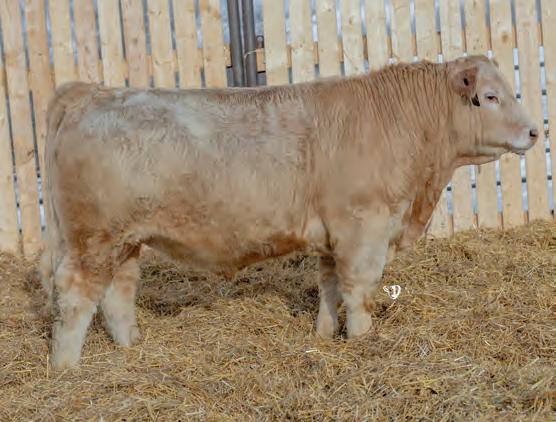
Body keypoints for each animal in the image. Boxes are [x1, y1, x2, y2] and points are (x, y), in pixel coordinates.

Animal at [40, 54, 538, 370]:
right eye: (490, 97)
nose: (535, 131)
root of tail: (93, 94)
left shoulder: (334, 236)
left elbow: (330, 287)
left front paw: (325, 335)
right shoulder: (363, 228)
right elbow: (359, 288)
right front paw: (363, 339)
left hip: (125, 240)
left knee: (117, 295)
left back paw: (130, 348)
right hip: (92, 238)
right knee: (76, 295)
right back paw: (66, 368)